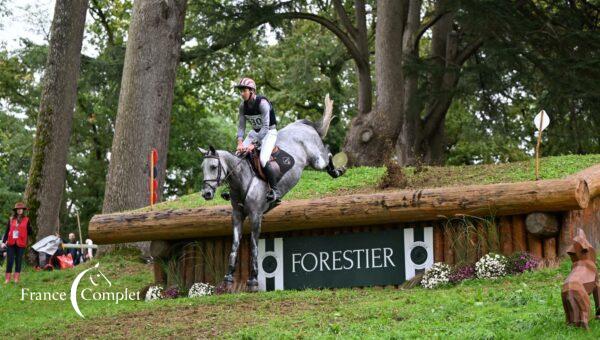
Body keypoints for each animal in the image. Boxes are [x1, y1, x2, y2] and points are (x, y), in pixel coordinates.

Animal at [199, 94, 344, 290]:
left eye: (214, 167)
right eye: (202, 168)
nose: (206, 194)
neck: (242, 179)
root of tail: (302, 124)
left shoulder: (256, 215)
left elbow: (253, 246)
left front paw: (253, 280)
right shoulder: (237, 216)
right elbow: (235, 245)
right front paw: (228, 277)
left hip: (316, 160)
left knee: (327, 154)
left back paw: (337, 170)